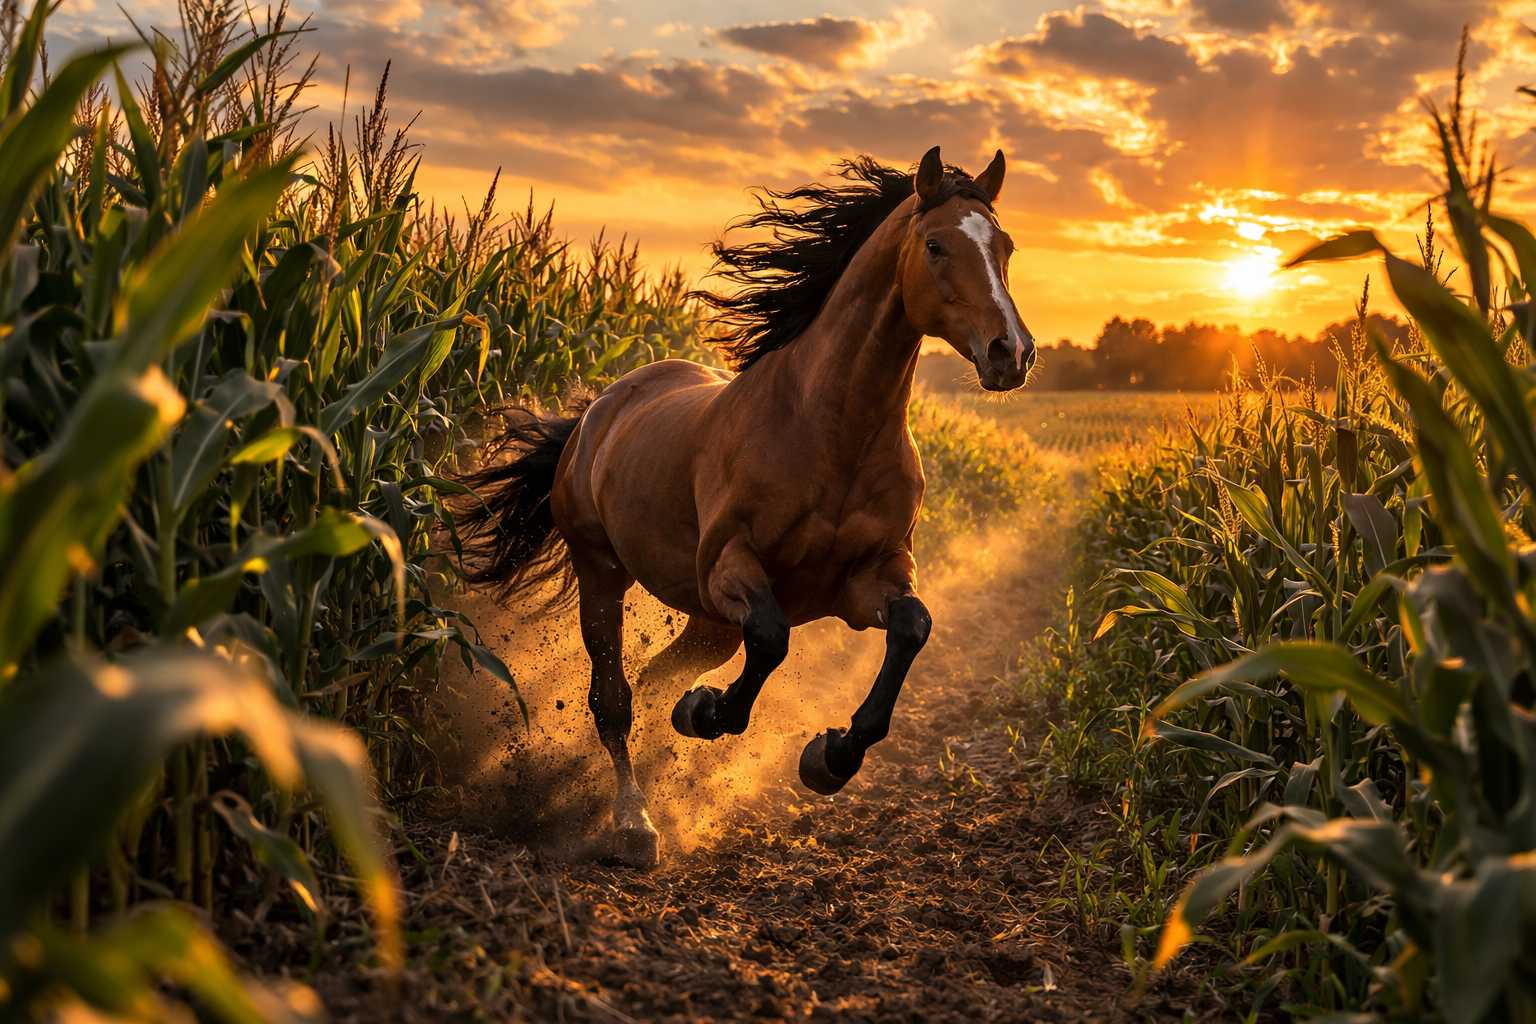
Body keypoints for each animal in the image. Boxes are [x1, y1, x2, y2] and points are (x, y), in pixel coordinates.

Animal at [459, 146, 1035, 867]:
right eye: (936, 245)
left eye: (1005, 247)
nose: (1011, 353)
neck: (830, 430)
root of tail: (598, 409)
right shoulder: (731, 567)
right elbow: (771, 638)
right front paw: (707, 714)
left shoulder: (868, 578)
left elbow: (912, 627)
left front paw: (829, 758)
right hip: (604, 575)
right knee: (615, 700)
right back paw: (634, 822)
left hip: (707, 623)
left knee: (652, 678)